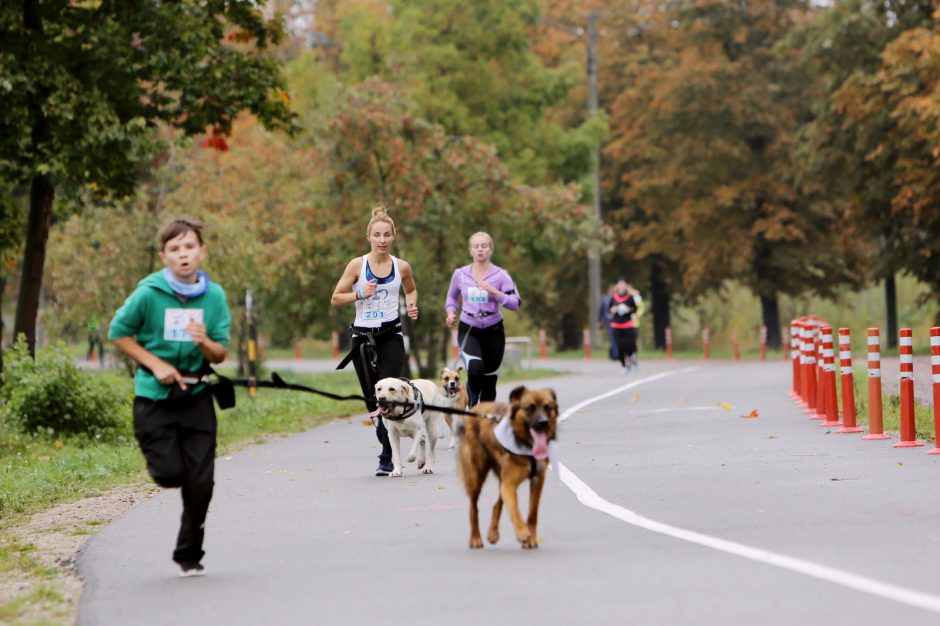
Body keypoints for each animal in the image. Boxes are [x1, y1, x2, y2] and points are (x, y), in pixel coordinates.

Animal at [458, 382, 560, 548]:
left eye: (548, 407)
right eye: (529, 407)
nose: (544, 423)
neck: (528, 447)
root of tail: (474, 410)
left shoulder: (537, 480)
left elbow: (533, 513)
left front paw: (531, 539)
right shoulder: (509, 484)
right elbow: (514, 509)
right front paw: (523, 533)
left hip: (502, 476)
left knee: (497, 504)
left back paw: (493, 533)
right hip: (476, 476)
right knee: (474, 508)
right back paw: (475, 538)